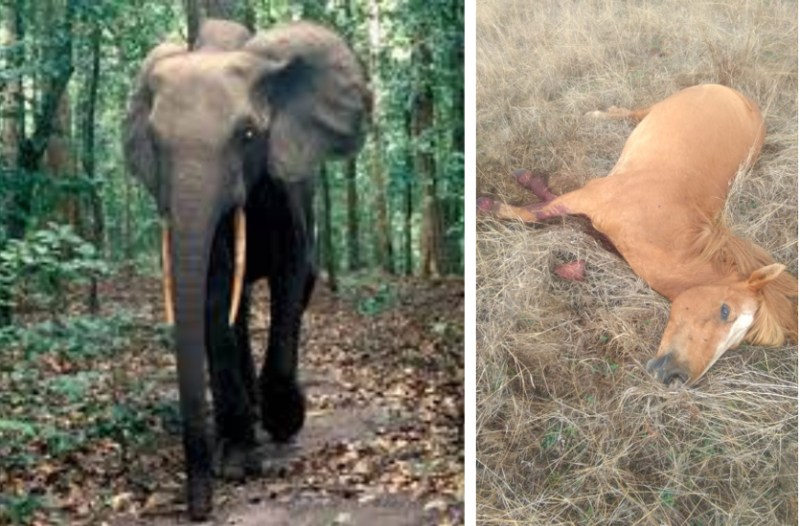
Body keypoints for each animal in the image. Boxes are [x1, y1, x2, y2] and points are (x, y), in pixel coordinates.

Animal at [123, 18, 368, 520]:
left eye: (249, 135)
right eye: (154, 142)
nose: (199, 511)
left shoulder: (286, 188)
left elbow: (292, 278)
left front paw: (285, 419)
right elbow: (214, 297)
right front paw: (236, 461)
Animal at [478, 84, 798, 385]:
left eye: (737, 343)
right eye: (724, 311)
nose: (676, 378)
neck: (662, 224)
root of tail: (746, 101)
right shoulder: (588, 195)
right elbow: (535, 213)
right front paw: (491, 203)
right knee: (634, 113)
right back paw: (596, 115)